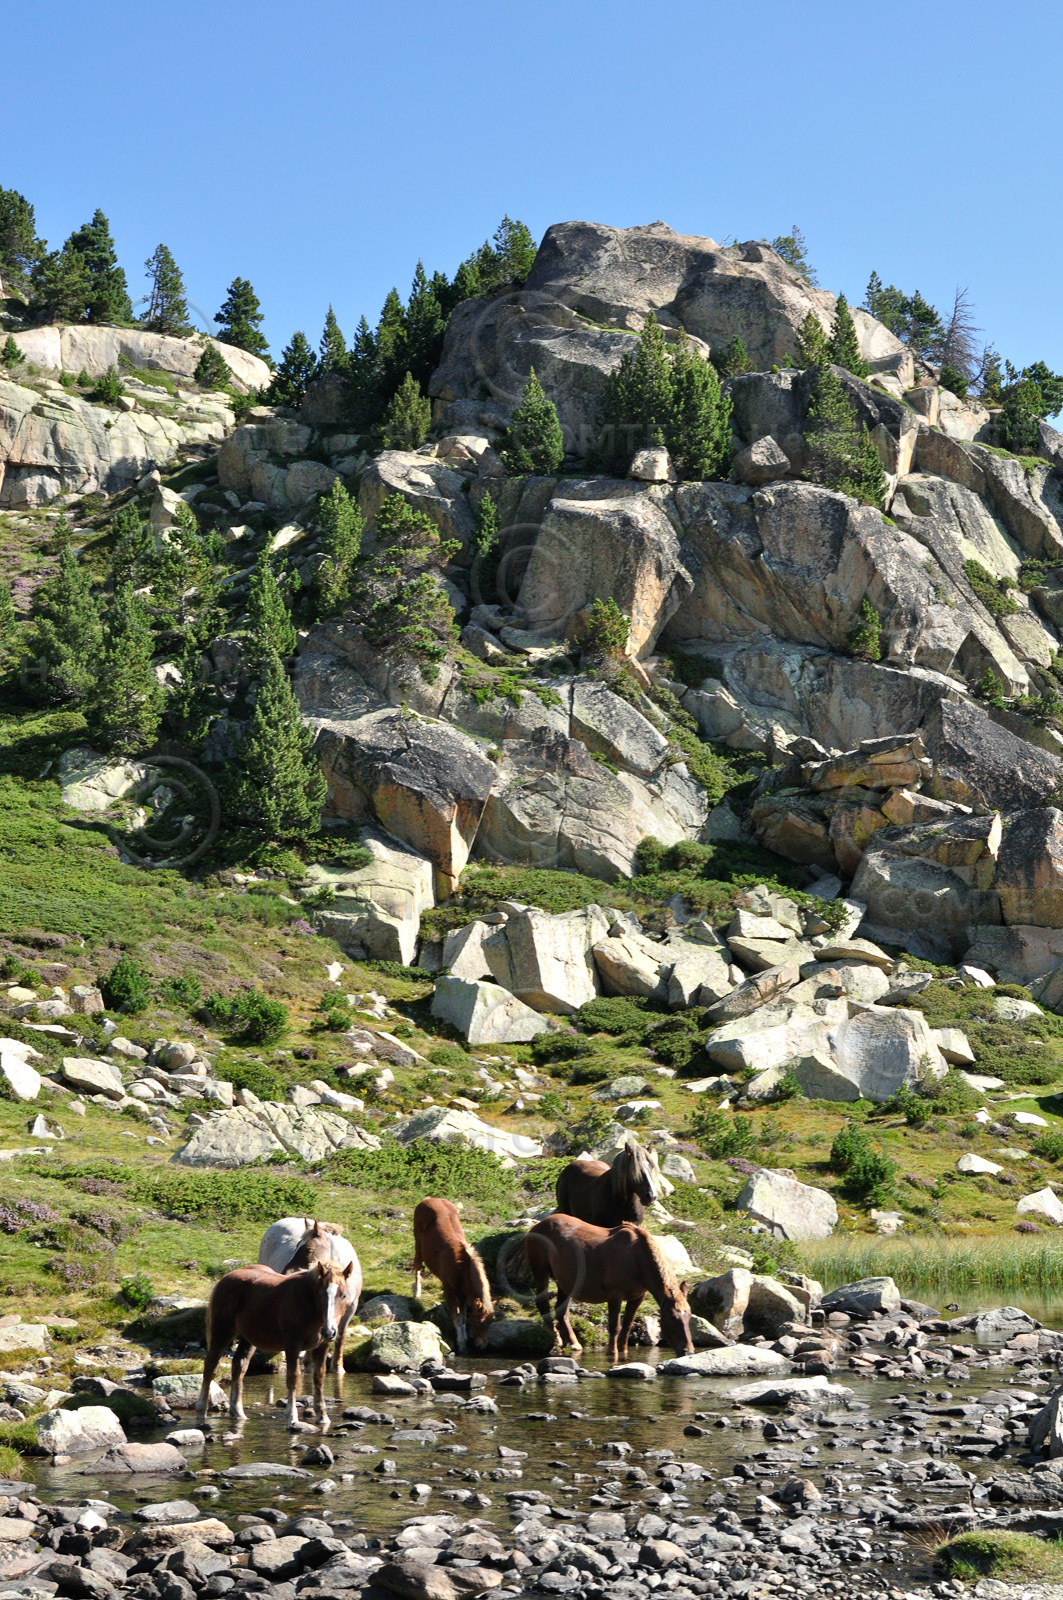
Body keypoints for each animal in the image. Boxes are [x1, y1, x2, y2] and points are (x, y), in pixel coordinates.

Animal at [195, 1259, 354, 1430]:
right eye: (321, 1294)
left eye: (343, 1295)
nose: (330, 1331)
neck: (308, 1304)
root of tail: (226, 1277)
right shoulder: (292, 1345)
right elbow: (293, 1378)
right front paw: (292, 1417)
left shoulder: (322, 1346)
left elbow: (319, 1378)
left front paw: (323, 1417)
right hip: (222, 1332)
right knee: (210, 1368)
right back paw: (201, 1412)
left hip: (248, 1338)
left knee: (239, 1366)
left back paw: (238, 1413)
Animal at [258, 1216, 362, 1376]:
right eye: (295, 1247)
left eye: (308, 1249)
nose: (284, 1274)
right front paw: (309, 1365)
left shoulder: (350, 1308)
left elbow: (340, 1335)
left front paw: (338, 1368)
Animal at [412, 1197, 494, 1354]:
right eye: (478, 1320)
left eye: (490, 1322)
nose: (482, 1346)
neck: (462, 1268)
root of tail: (429, 1198)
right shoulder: (449, 1291)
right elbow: (457, 1318)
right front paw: (461, 1344)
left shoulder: (463, 1295)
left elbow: (462, 1318)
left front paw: (464, 1341)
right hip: (417, 1242)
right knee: (417, 1266)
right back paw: (416, 1293)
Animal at [524, 1213, 693, 1365]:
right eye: (672, 1317)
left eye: (690, 1316)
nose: (688, 1351)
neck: (639, 1263)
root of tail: (535, 1227)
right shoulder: (615, 1295)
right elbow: (614, 1326)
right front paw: (612, 1353)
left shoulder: (638, 1296)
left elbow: (627, 1325)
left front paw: (623, 1351)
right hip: (541, 1272)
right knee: (543, 1303)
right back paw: (556, 1338)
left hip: (564, 1282)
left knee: (561, 1310)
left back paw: (574, 1343)